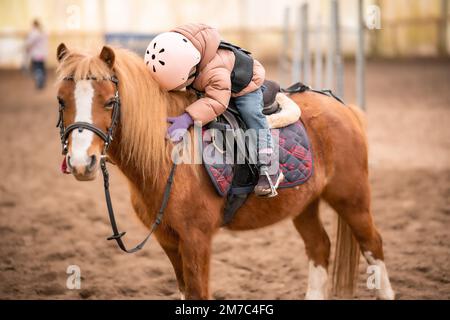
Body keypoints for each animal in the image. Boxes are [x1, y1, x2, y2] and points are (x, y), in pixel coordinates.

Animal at [55, 43, 394, 300]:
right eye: (61, 100)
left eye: (110, 101)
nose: (82, 162)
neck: (169, 156)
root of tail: (344, 109)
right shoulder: (168, 240)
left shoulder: (196, 239)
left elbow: (198, 293)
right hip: (305, 204)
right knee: (319, 247)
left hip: (352, 199)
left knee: (373, 246)